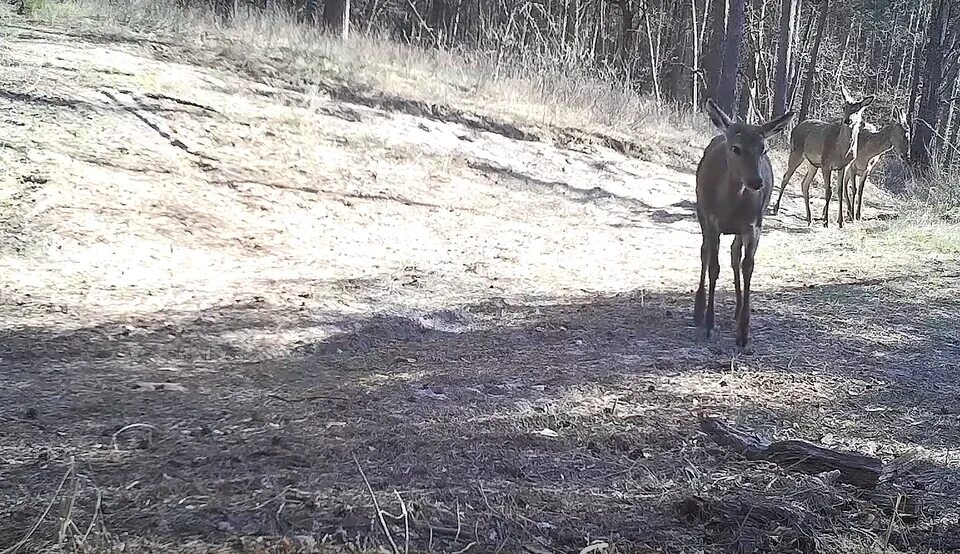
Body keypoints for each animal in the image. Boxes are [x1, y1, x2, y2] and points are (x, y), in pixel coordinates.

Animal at [692, 95, 792, 344]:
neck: (729, 206)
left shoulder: (753, 226)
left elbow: (748, 266)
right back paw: (698, 311)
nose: (756, 182)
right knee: (704, 252)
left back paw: (737, 310)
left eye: (764, 149)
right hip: (701, 212)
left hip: (740, 229)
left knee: (734, 255)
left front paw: (743, 331)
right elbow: (713, 266)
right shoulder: (712, 221)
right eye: (736, 148)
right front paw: (709, 323)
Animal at [768, 84, 872, 226]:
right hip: (796, 152)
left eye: (857, 110)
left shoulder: (844, 166)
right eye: (844, 107)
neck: (841, 151)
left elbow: (840, 191)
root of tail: (795, 127)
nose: (847, 120)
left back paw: (809, 217)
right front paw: (826, 221)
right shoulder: (826, 163)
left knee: (804, 184)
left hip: (813, 164)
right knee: (785, 177)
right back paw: (776, 208)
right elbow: (828, 191)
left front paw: (841, 222)